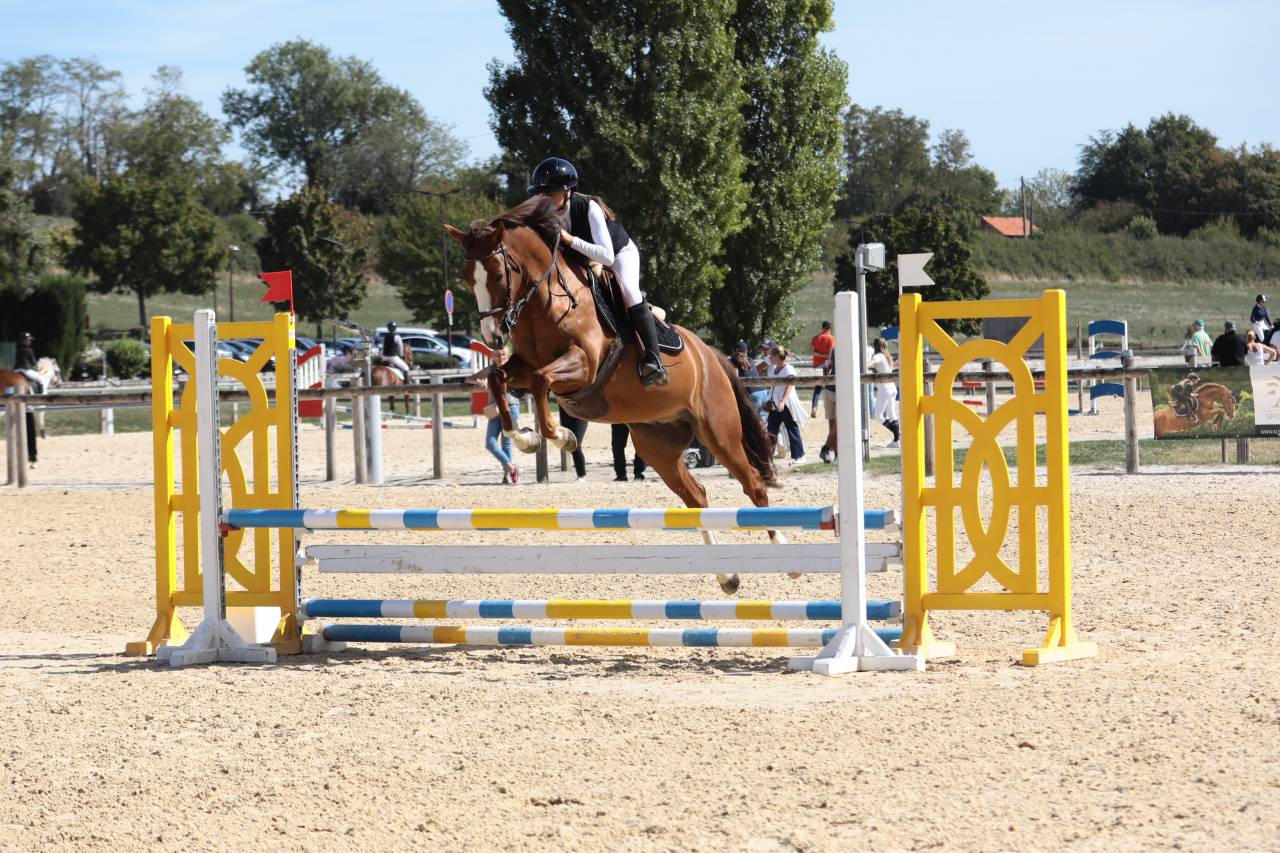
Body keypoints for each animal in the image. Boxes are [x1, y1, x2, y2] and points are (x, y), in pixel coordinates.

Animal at [444, 196, 777, 594]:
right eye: (467, 278)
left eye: (496, 275)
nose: (493, 337)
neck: (549, 303)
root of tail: (711, 355)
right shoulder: (522, 365)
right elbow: (498, 378)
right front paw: (527, 439)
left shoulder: (584, 365)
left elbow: (541, 382)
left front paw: (563, 437)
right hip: (658, 444)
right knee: (695, 495)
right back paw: (727, 577)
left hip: (719, 432)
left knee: (754, 484)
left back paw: (783, 558)